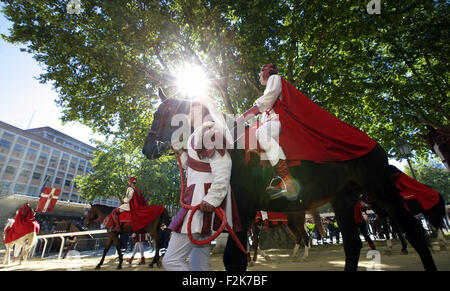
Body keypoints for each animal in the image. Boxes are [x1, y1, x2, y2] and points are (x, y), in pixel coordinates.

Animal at [142, 90, 438, 272]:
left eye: (158, 114)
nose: (146, 149)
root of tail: (372, 144)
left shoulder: (243, 212)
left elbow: (235, 259)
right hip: (343, 199)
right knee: (353, 244)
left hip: (382, 191)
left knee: (414, 231)